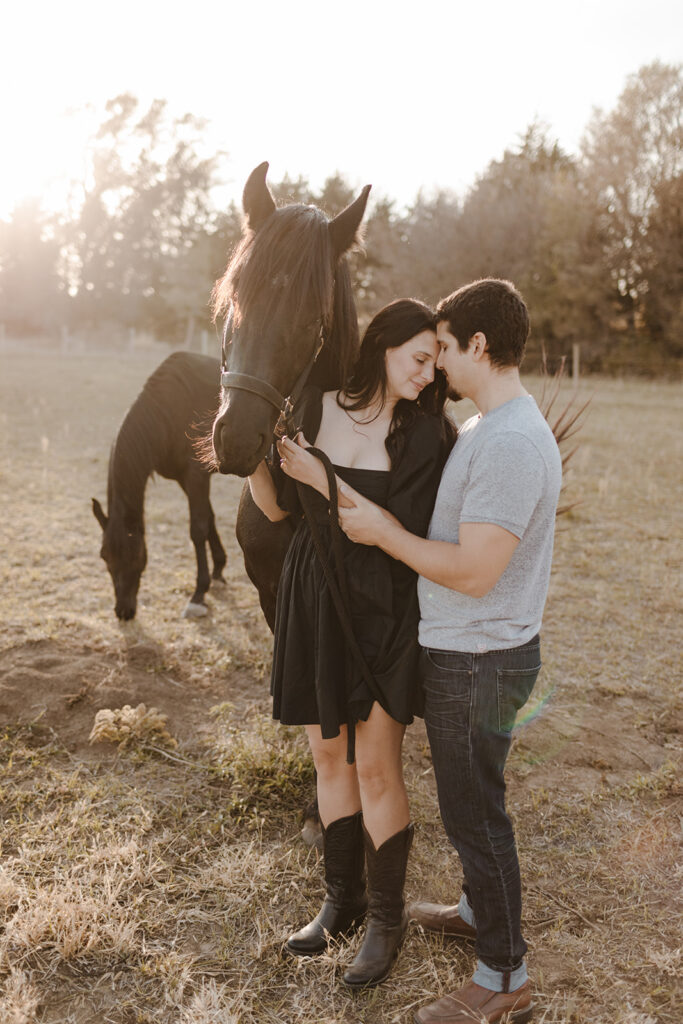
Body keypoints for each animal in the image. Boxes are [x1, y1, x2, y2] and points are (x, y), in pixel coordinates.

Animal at [91, 352, 227, 618]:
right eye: (104, 556)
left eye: (135, 555)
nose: (123, 611)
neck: (170, 411)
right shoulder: (186, 479)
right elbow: (209, 518)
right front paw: (218, 567)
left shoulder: (196, 477)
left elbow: (198, 528)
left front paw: (199, 593)